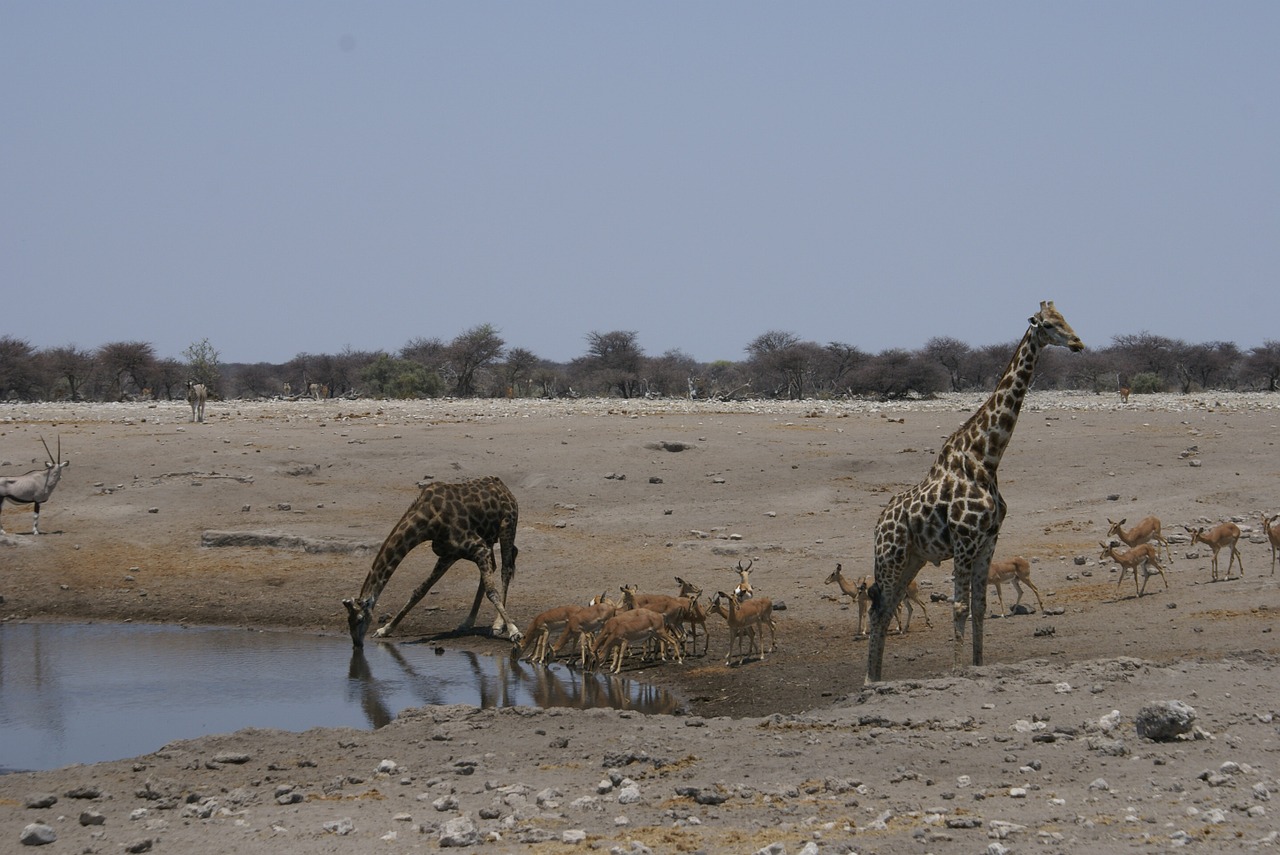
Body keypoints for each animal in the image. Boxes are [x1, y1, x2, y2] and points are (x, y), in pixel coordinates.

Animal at [343, 473, 522, 647]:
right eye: (348, 620)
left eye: (359, 619)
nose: (357, 643)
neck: (427, 521)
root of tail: (503, 487)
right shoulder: (449, 554)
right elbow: (420, 591)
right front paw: (385, 629)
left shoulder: (478, 547)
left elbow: (492, 592)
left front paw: (514, 631)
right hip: (488, 537)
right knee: (491, 570)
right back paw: (467, 623)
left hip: (507, 526)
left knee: (505, 569)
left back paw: (497, 625)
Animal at [865, 300, 1085, 680]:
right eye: (1048, 324)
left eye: (1064, 318)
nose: (1077, 342)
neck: (987, 458)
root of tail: (879, 524)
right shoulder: (965, 540)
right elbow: (959, 606)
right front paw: (956, 669)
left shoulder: (989, 539)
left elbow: (980, 606)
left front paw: (979, 664)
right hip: (890, 556)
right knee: (879, 608)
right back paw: (868, 680)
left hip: (913, 558)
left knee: (887, 606)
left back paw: (876, 680)